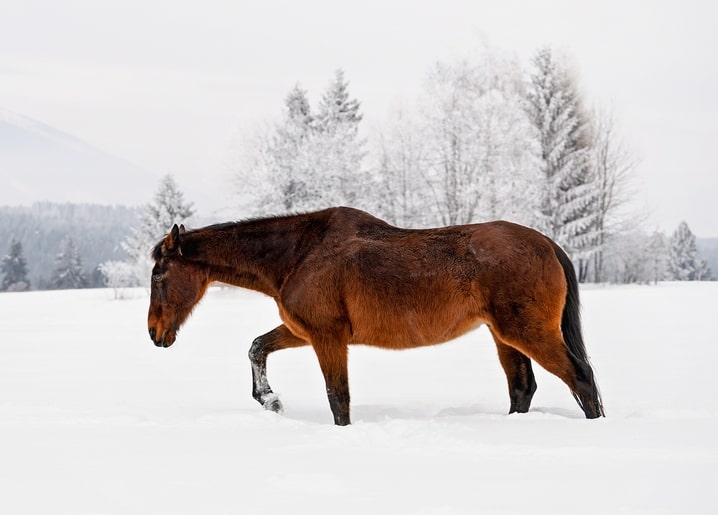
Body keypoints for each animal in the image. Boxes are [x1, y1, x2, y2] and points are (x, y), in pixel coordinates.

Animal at [148, 206, 604, 425]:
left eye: (158, 274)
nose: (154, 333)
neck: (299, 254)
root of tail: (547, 243)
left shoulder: (327, 337)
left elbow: (338, 398)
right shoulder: (305, 331)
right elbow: (257, 347)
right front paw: (270, 399)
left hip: (525, 331)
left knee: (580, 378)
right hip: (503, 334)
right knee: (522, 388)